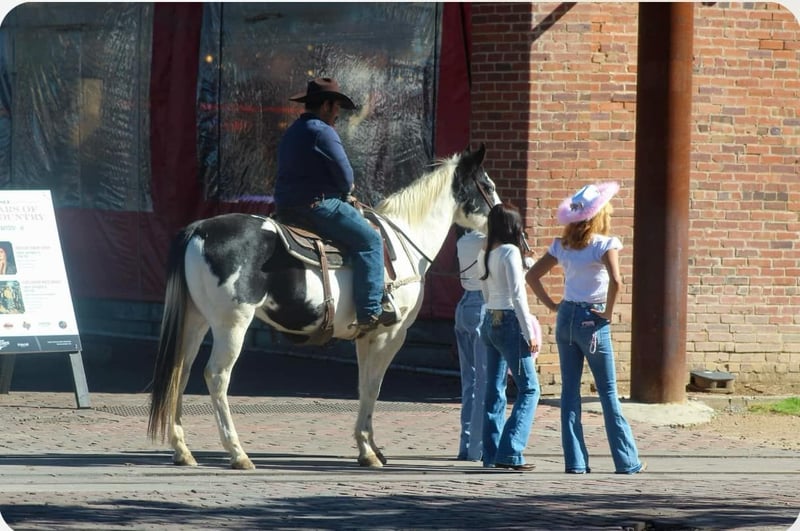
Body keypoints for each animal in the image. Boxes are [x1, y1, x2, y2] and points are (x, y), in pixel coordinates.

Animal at [147, 144, 500, 469]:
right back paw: (238, 453)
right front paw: (369, 451)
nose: (505, 220)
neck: (405, 242)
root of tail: (199, 229)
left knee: (180, 371)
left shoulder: (366, 336)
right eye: (488, 184)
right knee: (217, 377)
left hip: (196, 321)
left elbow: (363, 386)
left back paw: (183, 450)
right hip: (231, 324)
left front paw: (369, 447)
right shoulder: (390, 334)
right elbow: (373, 387)